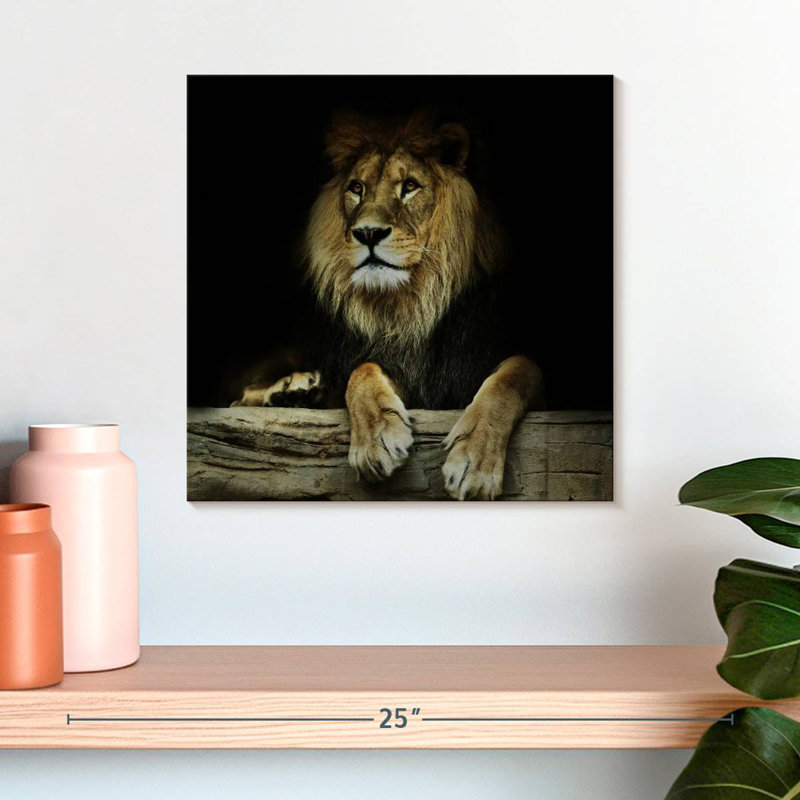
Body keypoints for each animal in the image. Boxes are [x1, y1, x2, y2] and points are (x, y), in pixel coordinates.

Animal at [232, 110, 545, 500]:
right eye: (356, 188)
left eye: (409, 186)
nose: (368, 233)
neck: (413, 304)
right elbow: (361, 370)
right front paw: (376, 441)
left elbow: (514, 375)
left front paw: (474, 462)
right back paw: (293, 391)